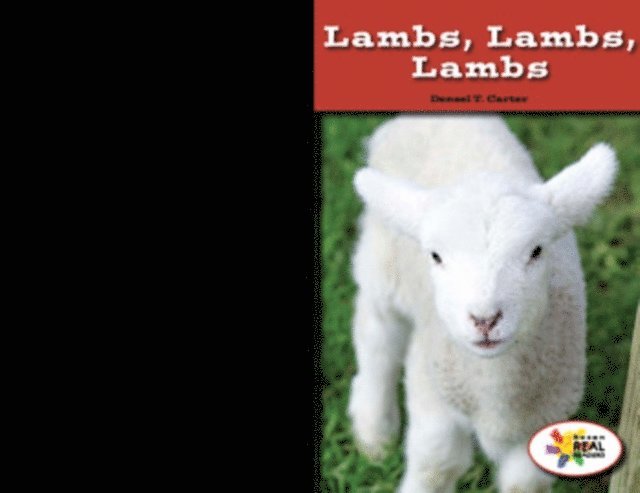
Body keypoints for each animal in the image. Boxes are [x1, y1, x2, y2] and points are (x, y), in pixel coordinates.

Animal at [348, 115, 618, 493]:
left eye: (537, 251)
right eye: (435, 256)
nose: (485, 319)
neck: (493, 392)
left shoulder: (543, 413)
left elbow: (523, 485)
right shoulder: (433, 395)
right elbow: (437, 465)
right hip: (381, 263)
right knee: (377, 342)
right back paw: (374, 434)